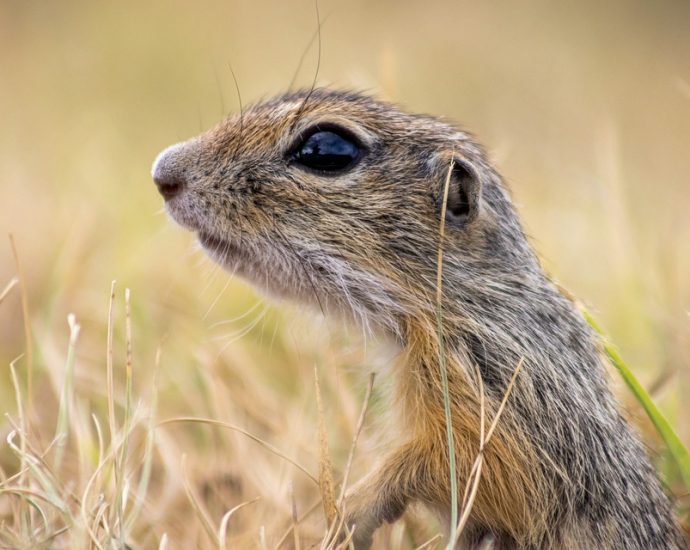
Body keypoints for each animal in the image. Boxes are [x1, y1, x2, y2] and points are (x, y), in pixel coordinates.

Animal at [150, 88, 684, 548]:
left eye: (326, 149)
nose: (163, 172)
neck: (462, 301)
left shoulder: (497, 394)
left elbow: (474, 469)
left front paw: (351, 508)